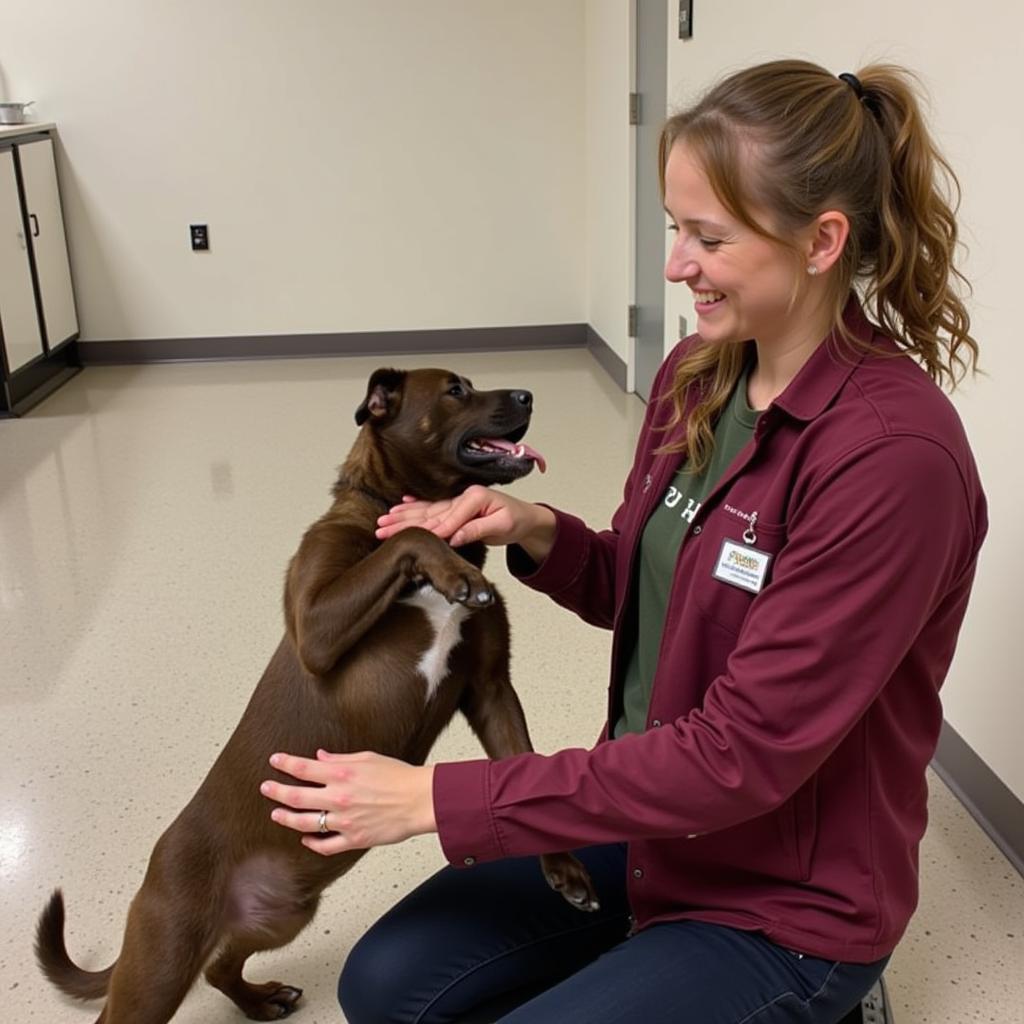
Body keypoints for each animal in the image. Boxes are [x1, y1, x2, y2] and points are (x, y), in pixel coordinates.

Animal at [37, 368, 598, 1024]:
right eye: (455, 389)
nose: (528, 395)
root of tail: (156, 872)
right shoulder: (316, 626)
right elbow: (409, 532)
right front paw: (455, 572)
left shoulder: (489, 689)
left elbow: (520, 765)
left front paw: (565, 869)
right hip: (163, 961)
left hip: (282, 914)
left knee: (222, 965)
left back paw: (262, 1000)